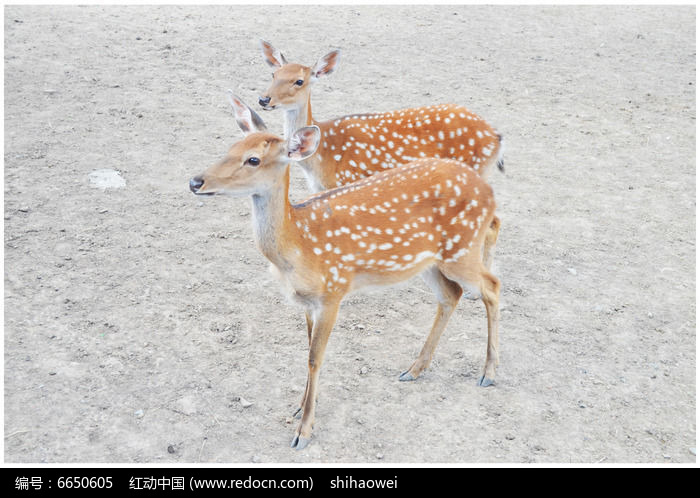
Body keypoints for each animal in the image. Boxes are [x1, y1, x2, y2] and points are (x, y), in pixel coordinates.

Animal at [189, 96, 500, 452]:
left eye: (253, 159)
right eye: (231, 146)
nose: (195, 181)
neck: (297, 247)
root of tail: (489, 191)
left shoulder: (333, 292)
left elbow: (315, 358)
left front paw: (304, 431)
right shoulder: (307, 302)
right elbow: (307, 350)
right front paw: (299, 407)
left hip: (462, 249)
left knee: (491, 285)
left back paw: (488, 372)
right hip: (427, 260)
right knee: (452, 295)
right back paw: (414, 369)